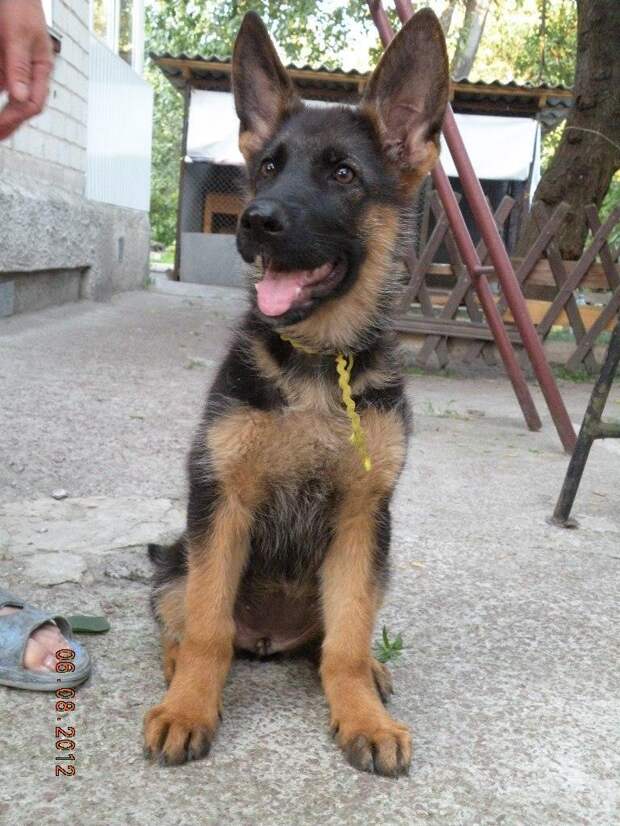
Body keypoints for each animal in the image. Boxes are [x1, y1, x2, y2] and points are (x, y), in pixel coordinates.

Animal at [143, 8, 448, 776]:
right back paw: (178, 676)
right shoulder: (221, 505)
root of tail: (269, 639)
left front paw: (361, 714)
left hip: (372, 565)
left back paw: (369, 674)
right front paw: (190, 708)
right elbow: (207, 630)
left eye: (343, 173)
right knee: (183, 622)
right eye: (268, 168)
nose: (255, 220)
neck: (317, 362)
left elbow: (346, 641)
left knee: (334, 640)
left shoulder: (363, 519)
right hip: (177, 561)